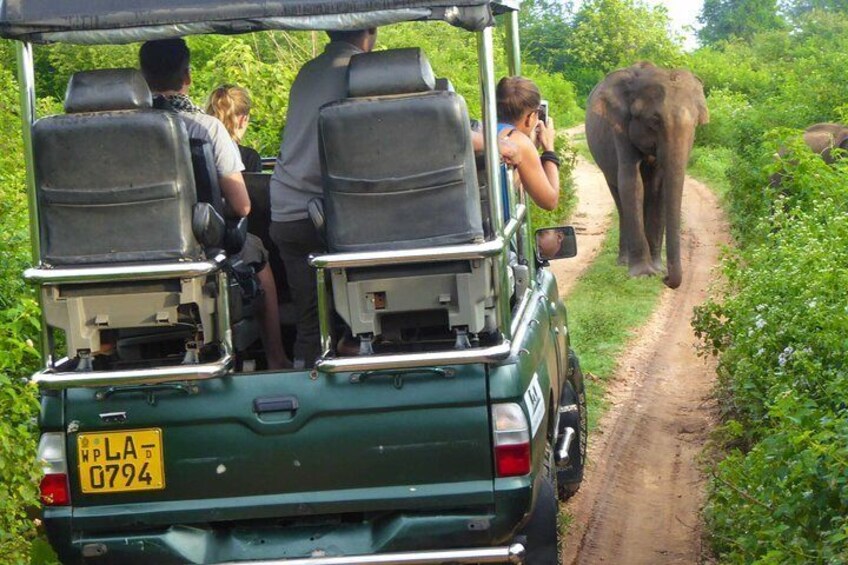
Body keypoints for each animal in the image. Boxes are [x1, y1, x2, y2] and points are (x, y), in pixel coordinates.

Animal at [584, 62, 708, 286]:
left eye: (696, 122)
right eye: (655, 120)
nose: (666, 278)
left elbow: (659, 188)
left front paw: (656, 268)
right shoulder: (620, 125)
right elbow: (631, 183)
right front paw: (643, 274)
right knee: (619, 197)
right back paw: (624, 262)